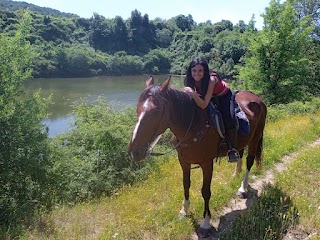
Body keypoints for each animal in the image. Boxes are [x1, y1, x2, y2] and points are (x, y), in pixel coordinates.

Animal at [127, 76, 268, 237]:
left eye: (156, 110)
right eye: (137, 108)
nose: (134, 151)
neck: (194, 126)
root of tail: (257, 99)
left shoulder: (207, 163)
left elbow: (205, 191)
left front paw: (205, 223)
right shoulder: (183, 161)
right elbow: (185, 184)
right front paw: (184, 211)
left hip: (255, 138)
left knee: (249, 161)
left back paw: (242, 188)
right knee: (240, 155)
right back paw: (235, 174)